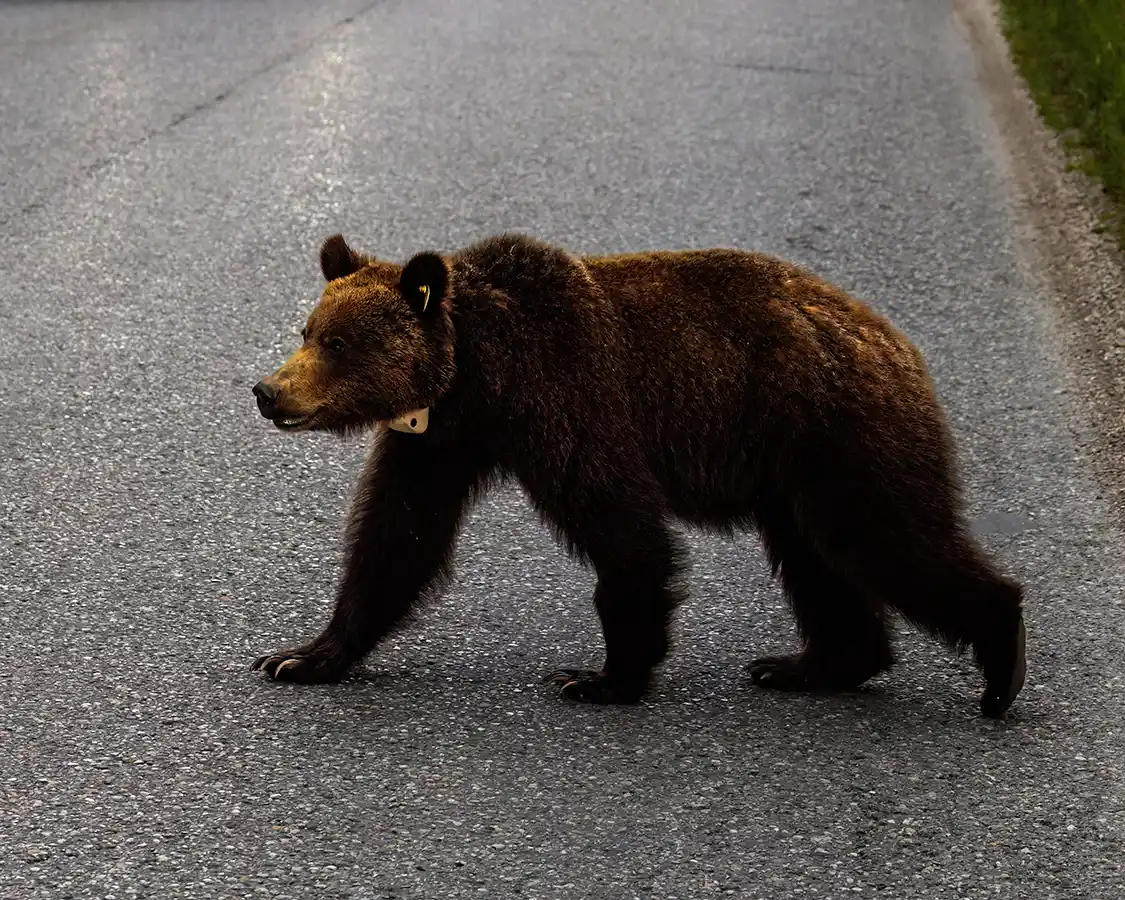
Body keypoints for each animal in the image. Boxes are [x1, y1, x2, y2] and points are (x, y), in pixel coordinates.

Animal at [250, 231, 1027, 718]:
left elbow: (622, 531)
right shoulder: (439, 442)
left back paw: (999, 665)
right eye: (307, 331)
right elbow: (395, 542)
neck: (481, 376)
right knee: (817, 559)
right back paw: (808, 664)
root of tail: (893, 338)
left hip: (837, 429)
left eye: (338, 342)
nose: (268, 390)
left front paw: (602, 676)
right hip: (793, 470)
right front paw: (302, 656)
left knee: (889, 537)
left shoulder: (567, 400)